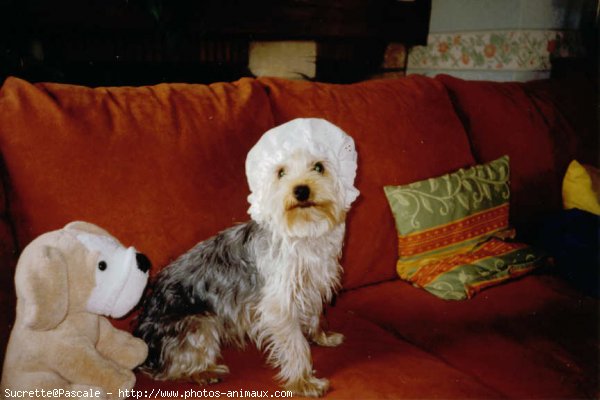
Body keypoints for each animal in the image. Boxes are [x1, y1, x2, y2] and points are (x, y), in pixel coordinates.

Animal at [134, 116, 358, 396]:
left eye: (319, 167)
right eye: (281, 172)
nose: (301, 190)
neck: (303, 230)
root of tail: (142, 336)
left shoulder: (311, 285)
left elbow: (316, 313)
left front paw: (322, 337)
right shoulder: (278, 304)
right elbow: (295, 344)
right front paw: (304, 382)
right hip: (200, 323)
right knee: (172, 369)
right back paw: (206, 372)